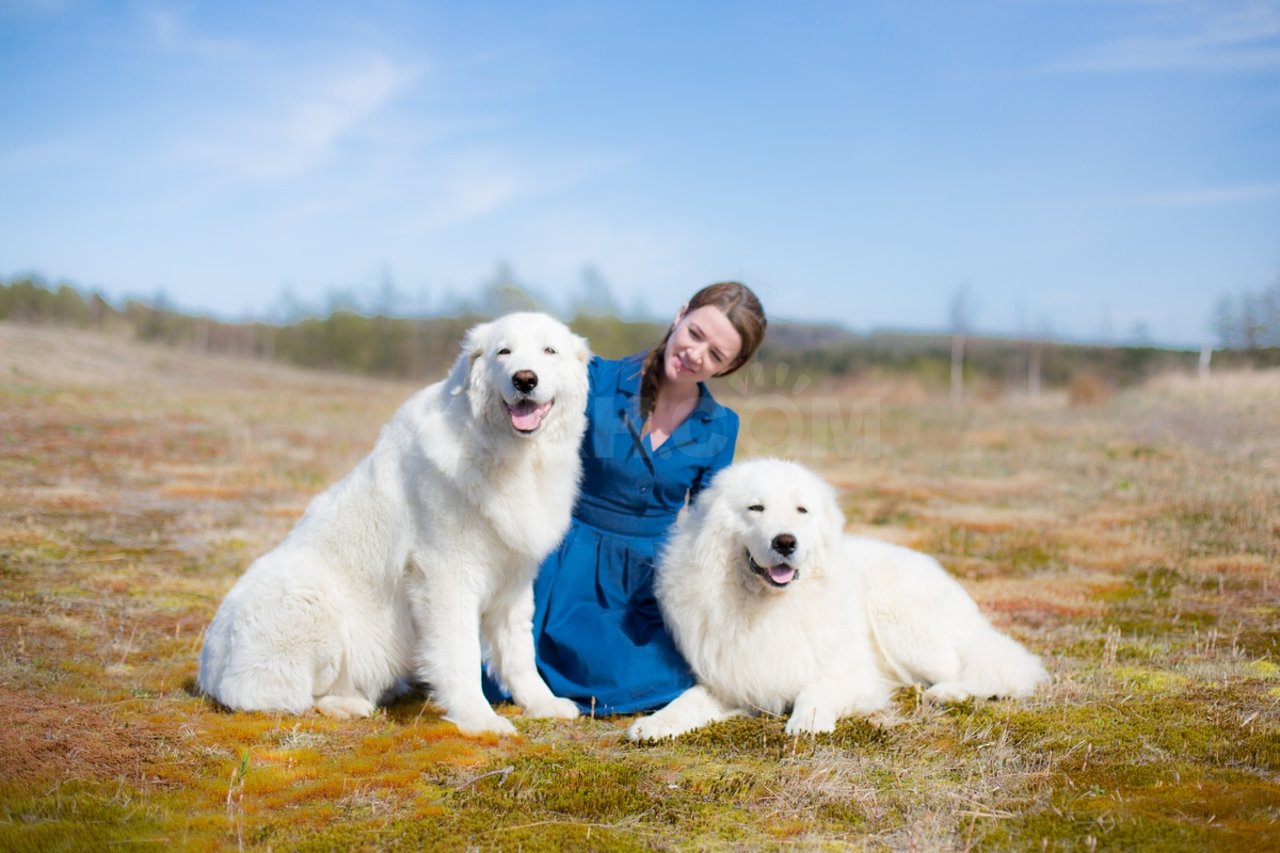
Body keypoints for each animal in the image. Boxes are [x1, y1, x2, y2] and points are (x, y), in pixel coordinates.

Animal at [197, 311, 586, 732]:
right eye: (504, 352)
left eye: (549, 351)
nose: (524, 379)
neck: (508, 454)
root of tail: (207, 670)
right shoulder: (446, 575)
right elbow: (461, 654)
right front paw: (478, 719)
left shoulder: (513, 580)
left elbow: (519, 652)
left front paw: (542, 703)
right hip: (312, 603)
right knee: (284, 697)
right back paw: (347, 704)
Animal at [624, 458, 1044, 737]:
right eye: (756, 508)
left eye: (801, 510)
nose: (785, 542)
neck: (770, 605)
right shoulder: (731, 679)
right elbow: (688, 700)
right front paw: (654, 724)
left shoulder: (854, 675)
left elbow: (816, 689)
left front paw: (807, 721)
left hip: (903, 624)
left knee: (991, 669)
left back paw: (948, 691)